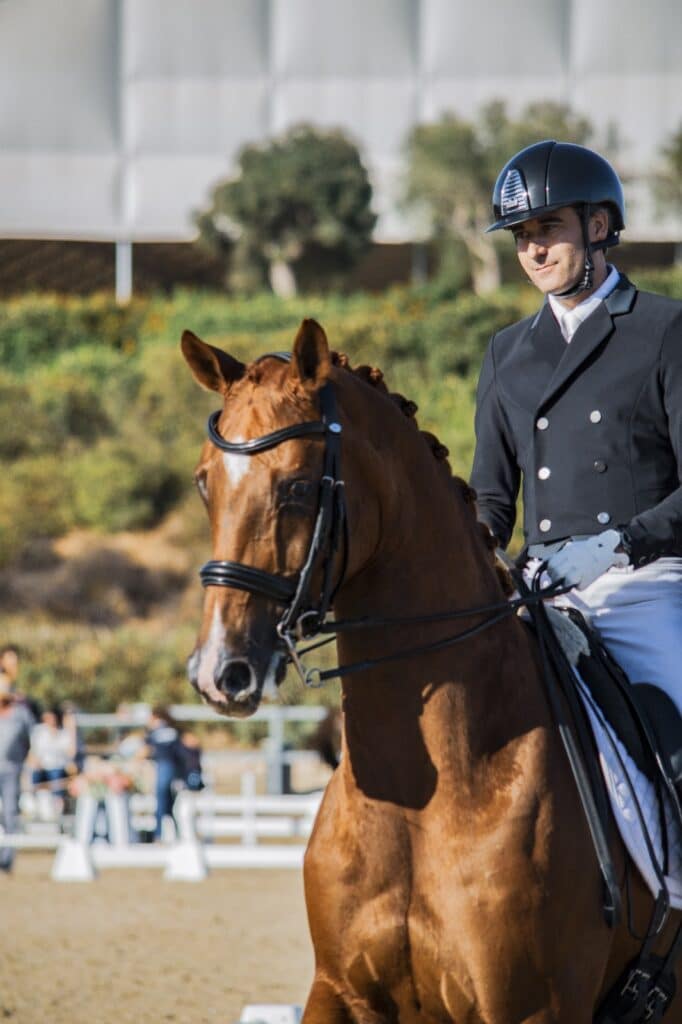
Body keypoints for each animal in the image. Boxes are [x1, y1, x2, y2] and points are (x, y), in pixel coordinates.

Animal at [182, 319, 679, 1024]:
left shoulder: (533, 1009)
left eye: (298, 487)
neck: (425, 796)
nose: (220, 672)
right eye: (205, 483)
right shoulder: (339, 991)